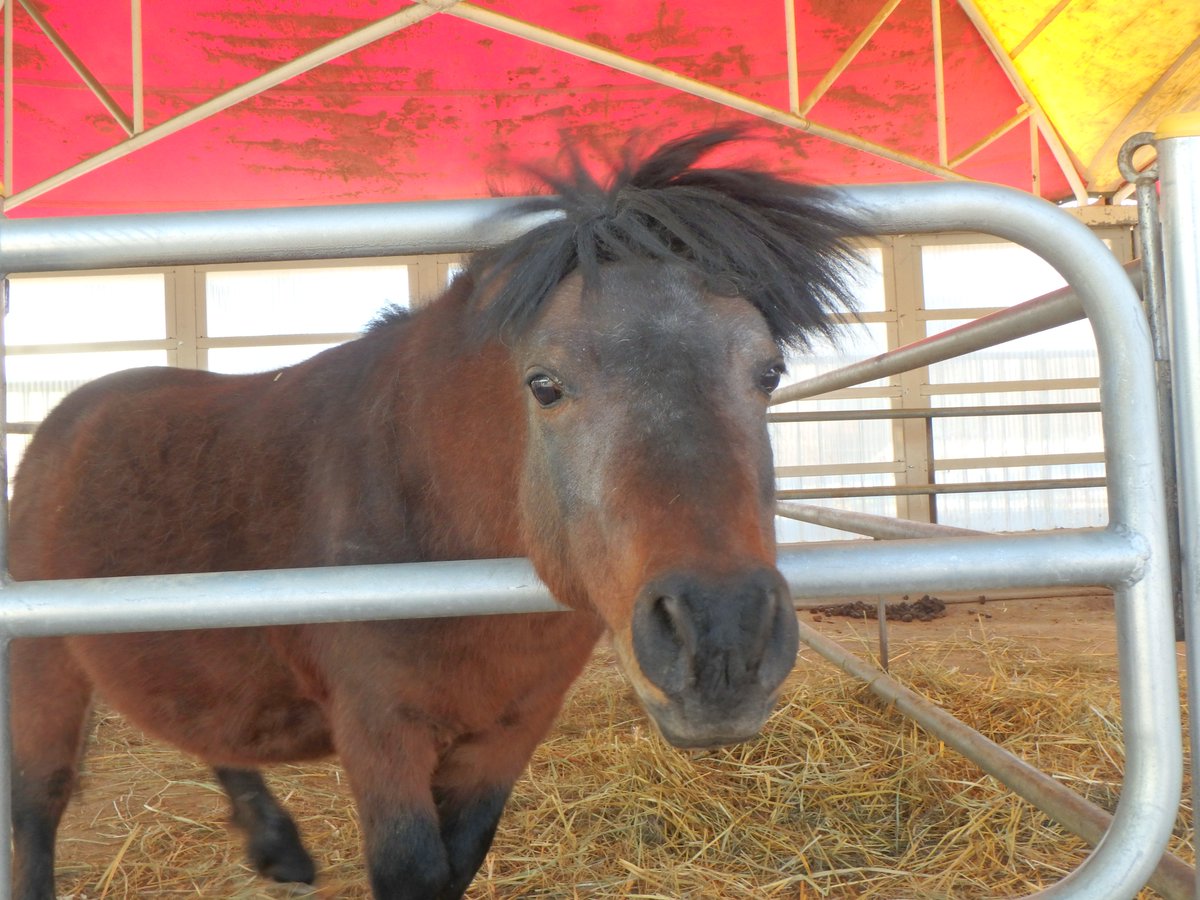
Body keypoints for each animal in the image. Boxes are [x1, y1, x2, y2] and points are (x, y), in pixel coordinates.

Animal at [8, 128, 862, 899]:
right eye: (545, 385)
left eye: (768, 372)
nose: (722, 640)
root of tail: (63, 420)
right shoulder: (382, 735)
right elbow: (411, 871)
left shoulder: (508, 734)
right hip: (44, 667)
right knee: (36, 804)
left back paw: (278, 848)